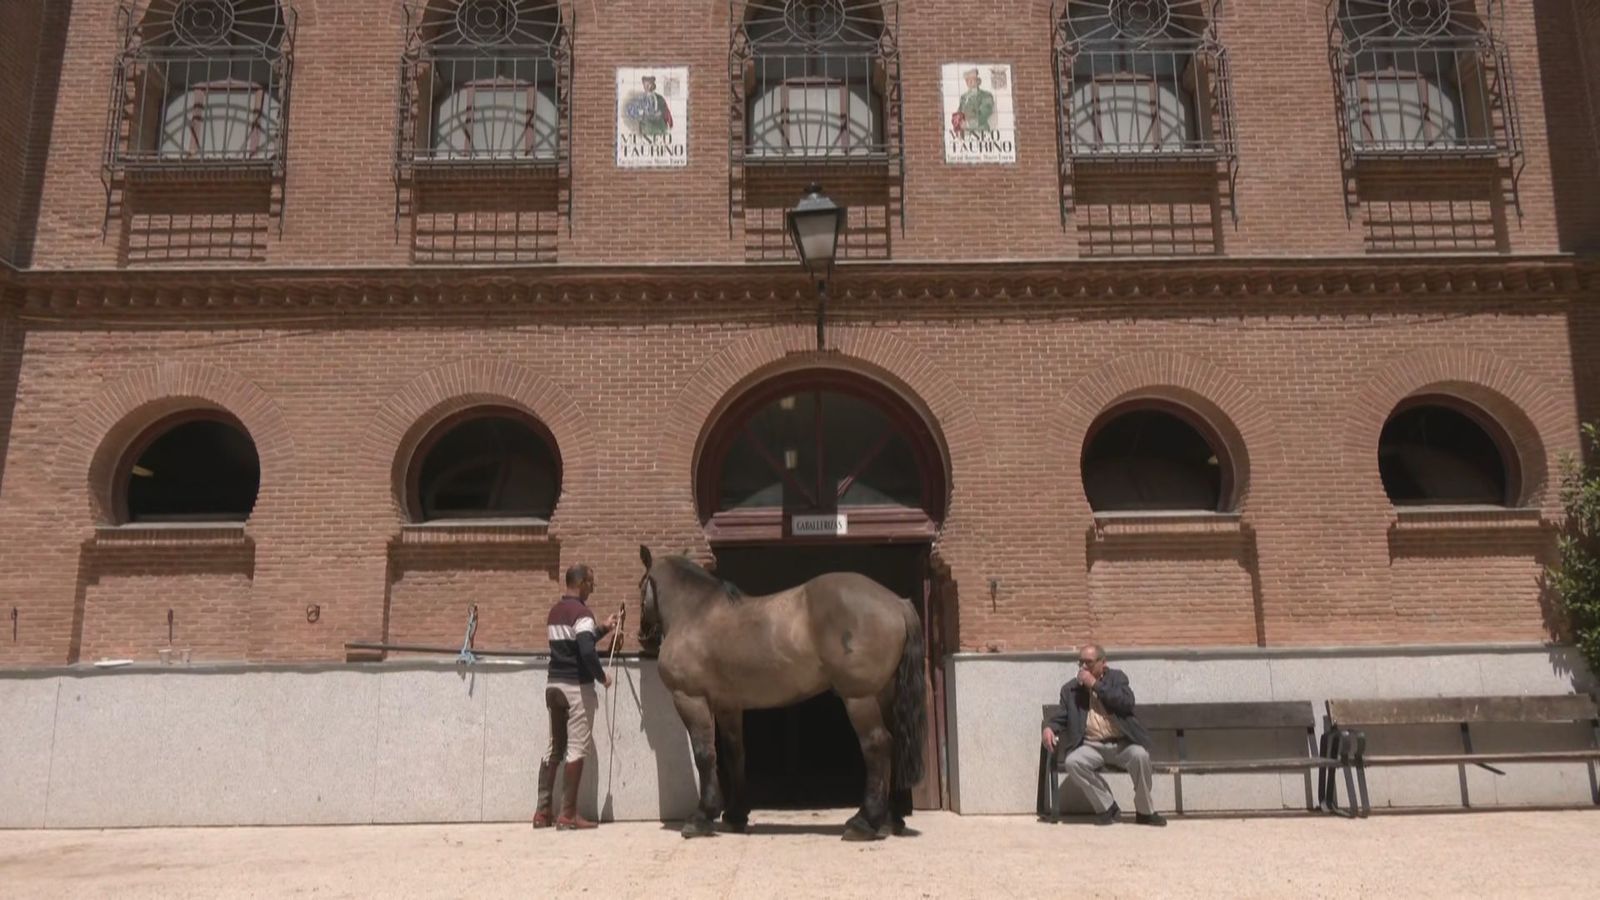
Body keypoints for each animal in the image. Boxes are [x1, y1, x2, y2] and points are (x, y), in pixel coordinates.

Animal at [635, 545, 927, 840]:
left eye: (640, 586)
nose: (642, 635)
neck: (695, 614)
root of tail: (897, 603)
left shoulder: (690, 699)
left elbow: (704, 754)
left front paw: (701, 817)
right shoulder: (729, 706)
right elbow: (734, 754)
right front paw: (735, 815)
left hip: (859, 698)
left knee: (877, 745)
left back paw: (864, 822)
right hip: (884, 695)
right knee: (894, 744)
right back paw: (889, 820)